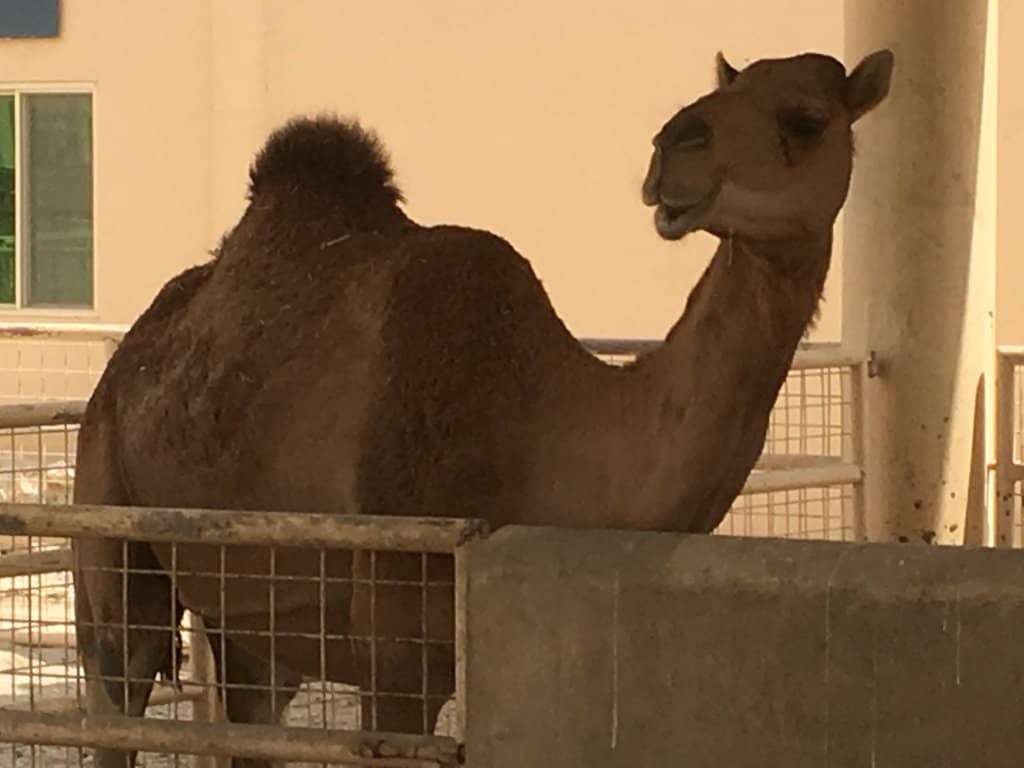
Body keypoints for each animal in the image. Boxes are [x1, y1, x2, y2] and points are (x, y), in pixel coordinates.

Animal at [71, 48, 894, 768]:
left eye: (807, 117)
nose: (673, 149)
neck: (540, 431)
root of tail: (126, 357)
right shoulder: (397, 657)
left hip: (254, 623)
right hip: (107, 509)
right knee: (118, 678)